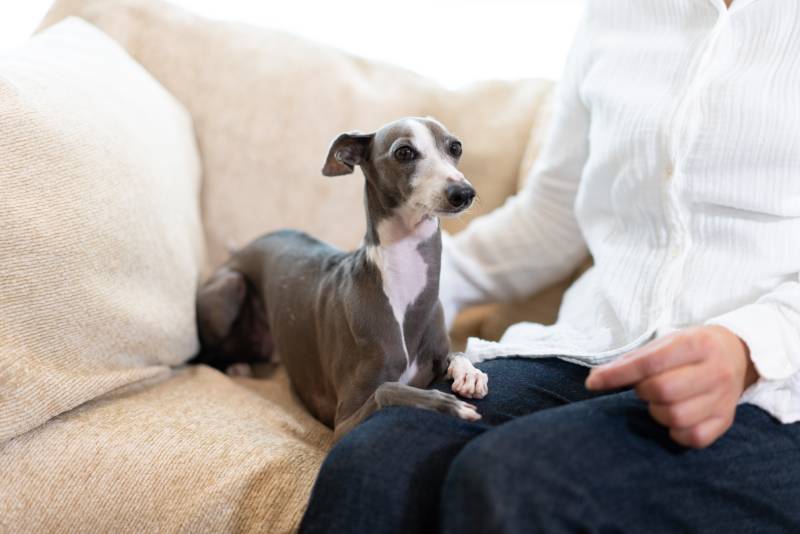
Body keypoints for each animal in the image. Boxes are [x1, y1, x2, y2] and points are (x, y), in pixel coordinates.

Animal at [196, 119, 490, 442]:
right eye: (404, 152)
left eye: (455, 147)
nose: (463, 192)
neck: (403, 293)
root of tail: (238, 252)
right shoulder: (343, 422)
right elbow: (388, 390)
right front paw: (445, 404)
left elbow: (456, 353)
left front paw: (469, 374)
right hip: (229, 287)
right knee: (204, 354)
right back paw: (236, 366)